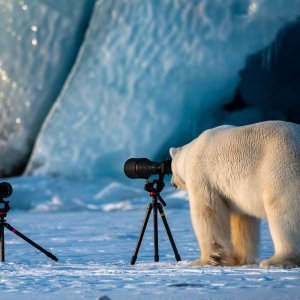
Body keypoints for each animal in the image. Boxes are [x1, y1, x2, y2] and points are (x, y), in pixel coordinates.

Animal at [170, 120, 300, 268]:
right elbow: (242, 220)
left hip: (280, 166)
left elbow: (207, 212)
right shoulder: (237, 193)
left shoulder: (202, 176)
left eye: (171, 168)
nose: (172, 183)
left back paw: (277, 260)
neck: (190, 152)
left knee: (283, 212)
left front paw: (206, 260)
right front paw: (238, 260)